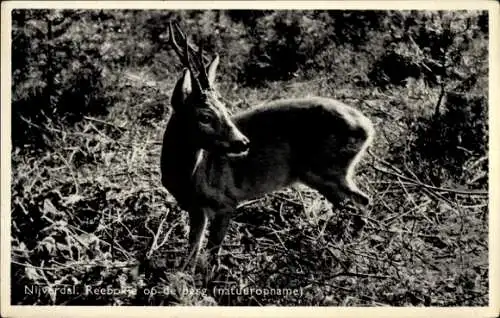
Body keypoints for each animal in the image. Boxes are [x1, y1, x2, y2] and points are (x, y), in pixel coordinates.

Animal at [160, 22, 376, 270]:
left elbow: (212, 257)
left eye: (225, 110)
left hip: (328, 170)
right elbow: (190, 256)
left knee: (362, 201)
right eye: (205, 116)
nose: (243, 142)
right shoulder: (196, 209)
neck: (189, 177)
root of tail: (368, 128)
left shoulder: (226, 202)